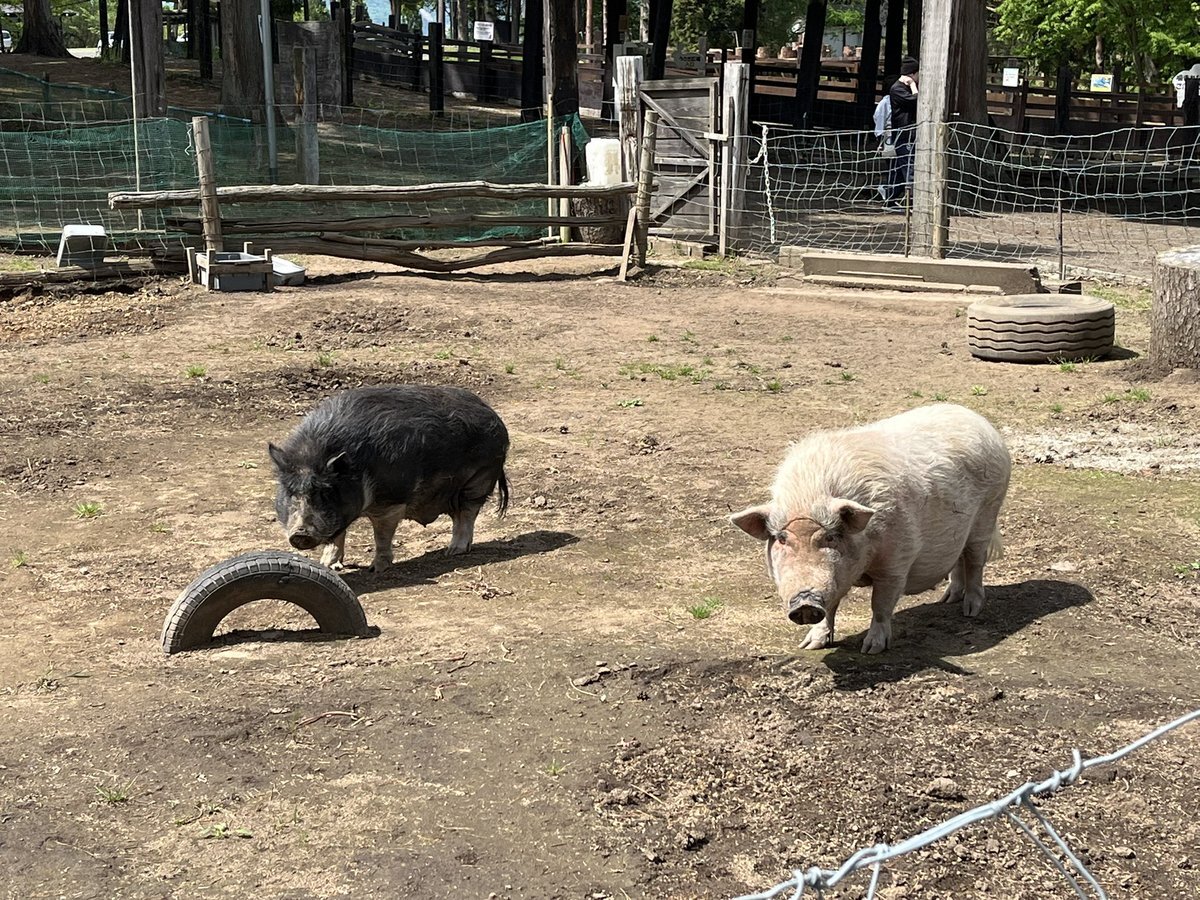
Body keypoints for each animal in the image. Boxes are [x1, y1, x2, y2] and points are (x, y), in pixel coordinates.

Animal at [268, 385, 510, 572]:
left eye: (325, 492)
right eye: (290, 491)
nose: (300, 533)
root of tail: (495, 417)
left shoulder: (391, 501)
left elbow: (381, 536)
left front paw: (376, 569)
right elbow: (337, 536)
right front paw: (328, 566)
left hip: (478, 481)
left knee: (466, 514)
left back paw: (453, 552)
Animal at [731, 403, 1010, 654]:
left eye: (830, 537)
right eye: (781, 538)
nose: (805, 602)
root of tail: (981, 422)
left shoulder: (896, 562)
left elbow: (881, 605)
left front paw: (871, 649)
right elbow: (830, 607)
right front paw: (810, 645)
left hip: (988, 511)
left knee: (975, 561)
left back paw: (971, 611)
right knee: (958, 560)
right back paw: (947, 599)